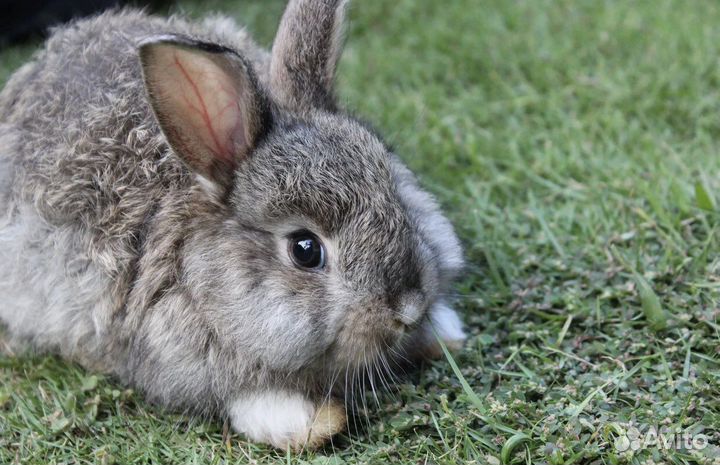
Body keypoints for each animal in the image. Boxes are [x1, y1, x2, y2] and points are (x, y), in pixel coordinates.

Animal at [0, 0, 467, 450]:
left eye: (394, 193)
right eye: (305, 249)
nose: (407, 309)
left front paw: (444, 332)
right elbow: (252, 401)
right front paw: (317, 422)